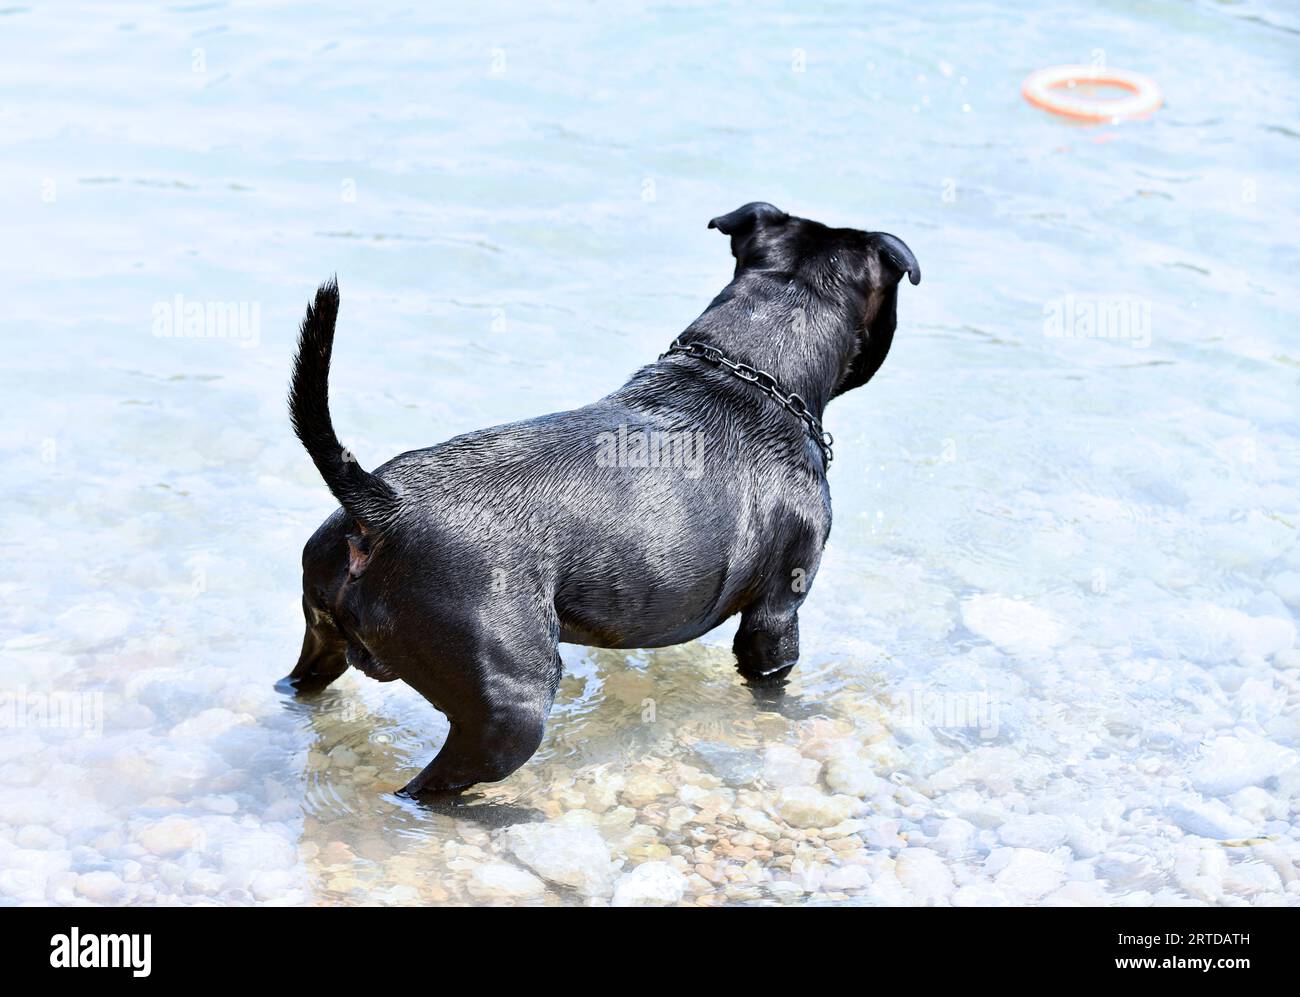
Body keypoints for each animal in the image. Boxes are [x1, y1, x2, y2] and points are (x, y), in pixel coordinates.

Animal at [280, 202, 920, 795]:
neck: (748, 371)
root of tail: (381, 506)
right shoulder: (776, 614)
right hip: (511, 706)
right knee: (426, 789)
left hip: (323, 636)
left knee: (303, 682)